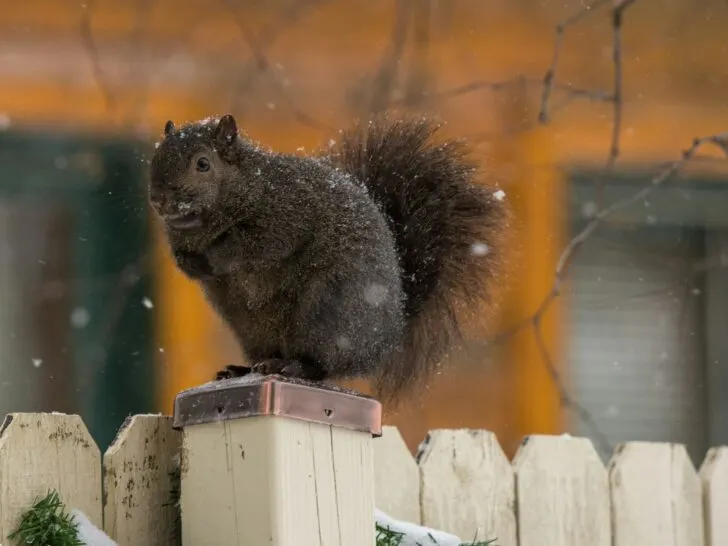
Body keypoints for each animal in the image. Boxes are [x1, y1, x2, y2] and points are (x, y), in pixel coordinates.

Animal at [151, 113, 510, 400]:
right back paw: (244, 369)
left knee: (323, 365)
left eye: (203, 163)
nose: (158, 199)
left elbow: (261, 243)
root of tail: (387, 336)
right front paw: (193, 262)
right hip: (253, 328)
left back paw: (292, 366)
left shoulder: (287, 213)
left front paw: (217, 254)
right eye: (156, 156)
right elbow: (188, 263)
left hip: (327, 312)